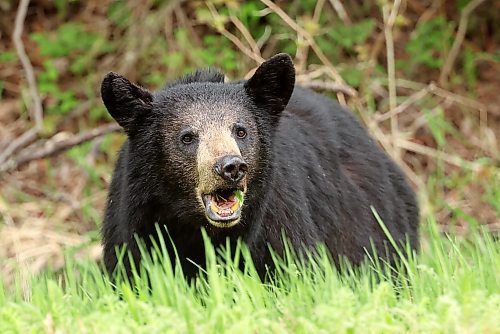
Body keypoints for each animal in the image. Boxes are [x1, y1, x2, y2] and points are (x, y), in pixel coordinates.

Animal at [100, 54, 418, 280]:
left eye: (241, 131)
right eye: (187, 137)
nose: (230, 167)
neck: (198, 228)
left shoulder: (278, 225)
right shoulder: (132, 225)